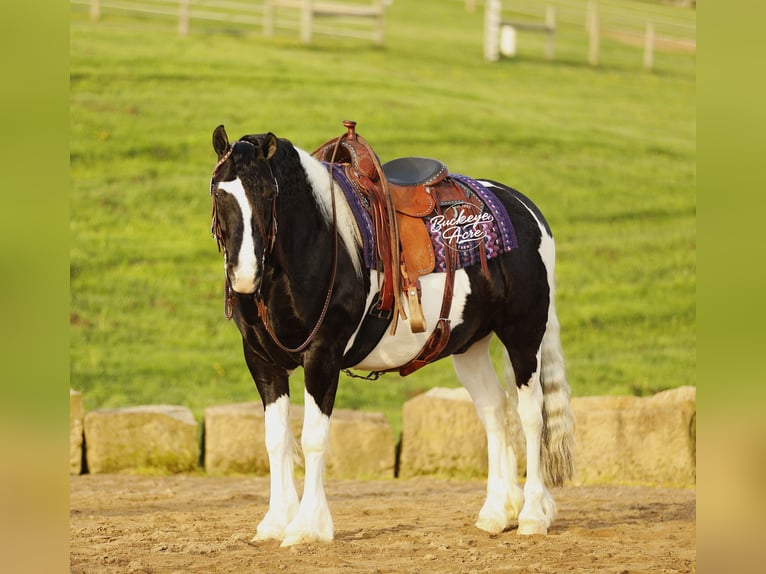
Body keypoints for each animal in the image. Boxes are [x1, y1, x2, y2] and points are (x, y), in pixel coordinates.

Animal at [209, 123, 575, 547]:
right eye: (218, 191)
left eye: (269, 194)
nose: (244, 275)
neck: (316, 240)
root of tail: (524, 207)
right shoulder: (262, 361)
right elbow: (276, 439)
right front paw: (275, 521)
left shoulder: (322, 355)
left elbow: (314, 437)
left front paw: (307, 526)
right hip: (470, 345)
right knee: (494, 411)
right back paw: (496, 513)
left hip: (523, 335)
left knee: (531, 416)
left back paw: (532, 515)